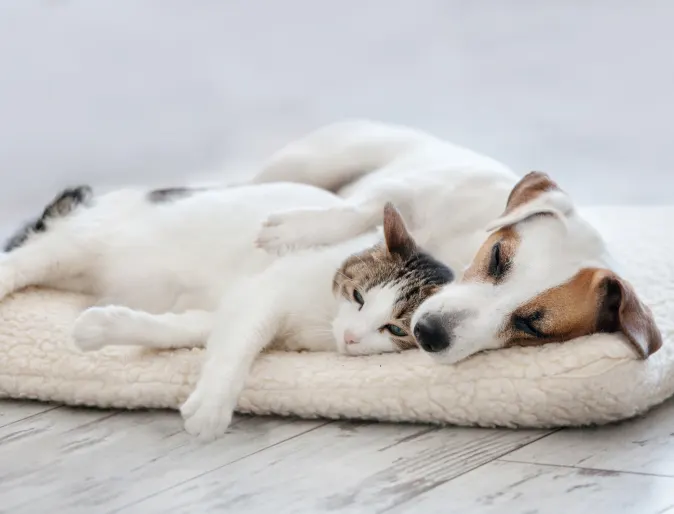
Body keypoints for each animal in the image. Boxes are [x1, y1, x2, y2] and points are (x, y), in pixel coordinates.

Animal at [251, 119, 656, 360]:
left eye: (531, 327)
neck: (454, 254)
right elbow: (362, 209)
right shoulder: (412, 190)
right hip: (315, 162)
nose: (428, 333)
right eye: (497, 256)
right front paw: (292, 229)